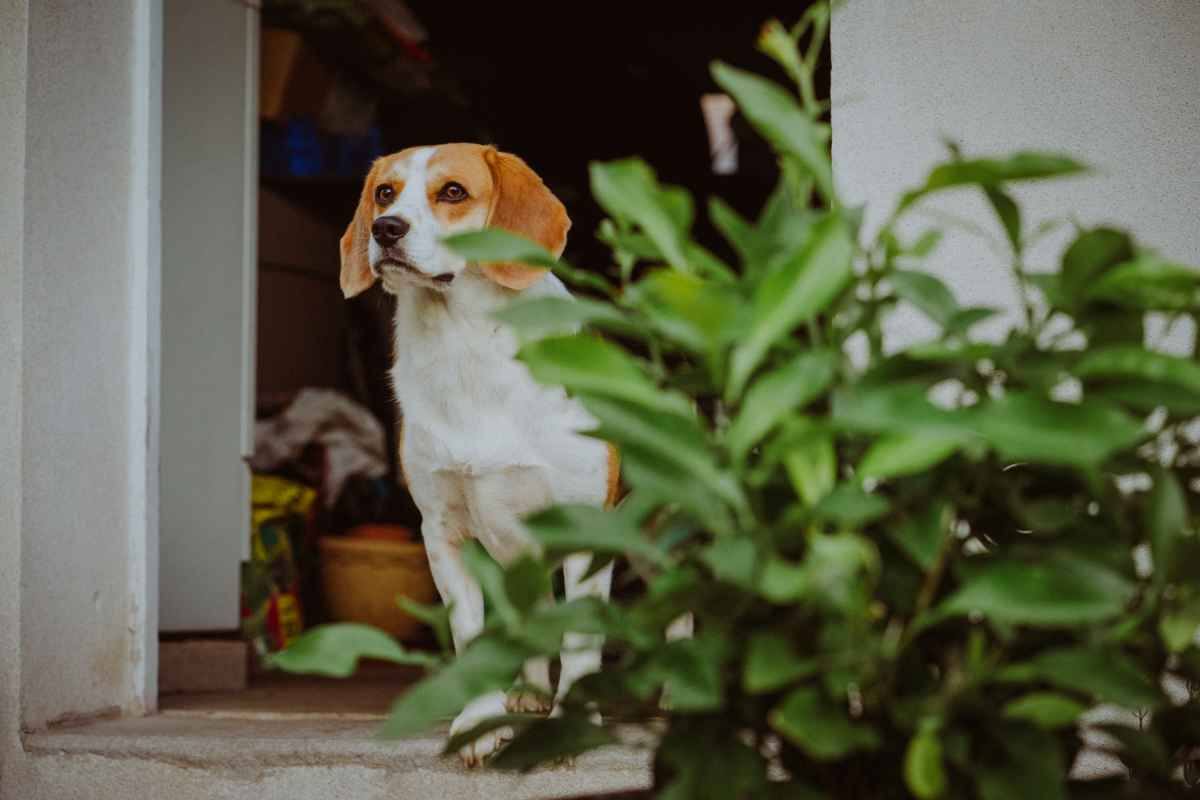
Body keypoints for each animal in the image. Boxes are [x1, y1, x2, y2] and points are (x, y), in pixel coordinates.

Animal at [340, 142, 614, 762]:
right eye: (385, 193)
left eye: (453, 193)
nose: (386, 229)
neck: (464, 346)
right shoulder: (443, 534)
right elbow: (471, 636)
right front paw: (478, 722)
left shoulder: (587, 531)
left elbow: (581, 643)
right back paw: (529, 693)